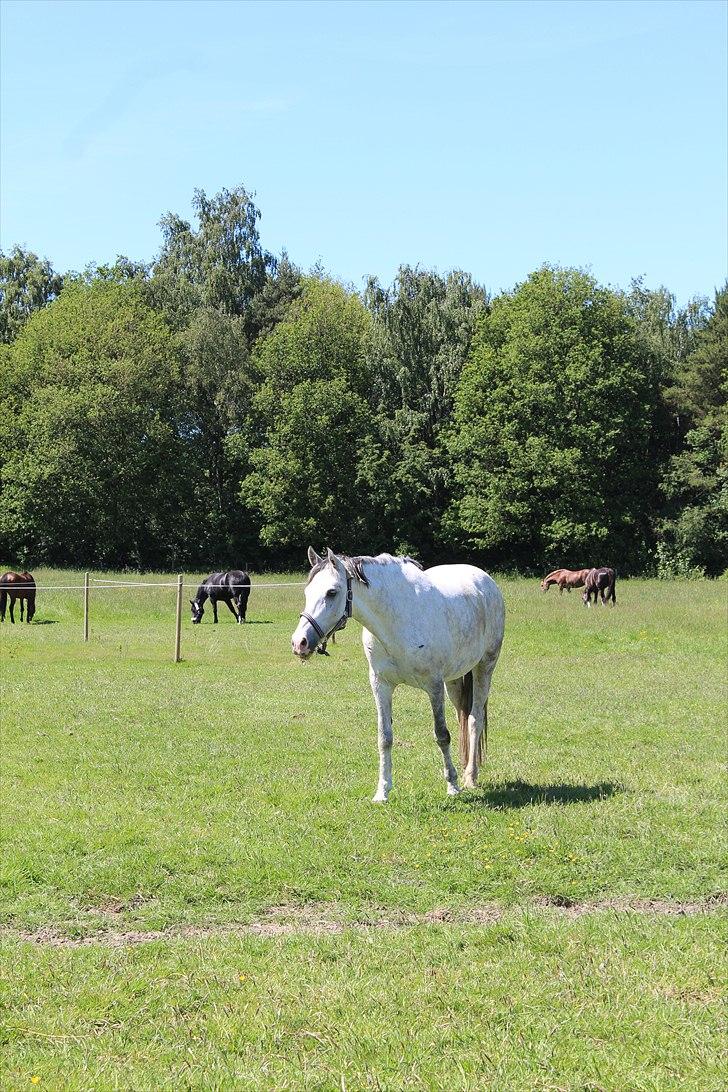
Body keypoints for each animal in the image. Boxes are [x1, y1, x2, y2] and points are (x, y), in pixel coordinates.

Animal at [292, 550, 506, 799]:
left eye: (332, 592)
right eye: (307, 592)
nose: (299, 643)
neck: (395, 621)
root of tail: (486, 581)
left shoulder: (434, 686)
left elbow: (442, 735)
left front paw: (452, 786)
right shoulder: (381, 684)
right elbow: (384, 737)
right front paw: (382, 791)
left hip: (484, 668)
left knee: (474, 719)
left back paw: (470, 777)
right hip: (453, 680)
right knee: (462, 717)